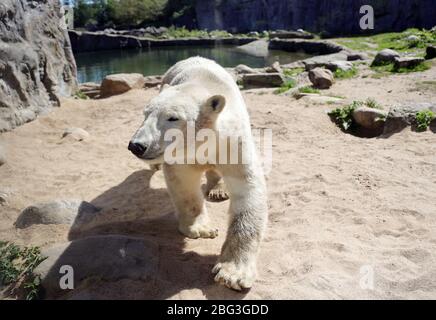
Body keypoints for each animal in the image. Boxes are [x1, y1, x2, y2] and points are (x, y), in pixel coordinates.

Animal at [127, 56, 268, 292]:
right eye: (145, 114)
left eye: (173, 118)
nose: (137, 146)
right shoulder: (180, 156)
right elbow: (184, 184)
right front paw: (201, 229)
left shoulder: (232, 143)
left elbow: (246, 189)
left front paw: (232, 274)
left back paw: (218, 190)